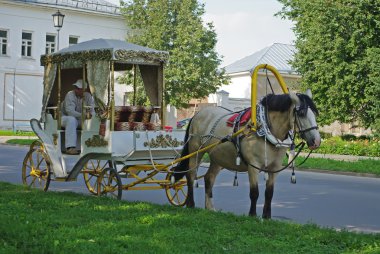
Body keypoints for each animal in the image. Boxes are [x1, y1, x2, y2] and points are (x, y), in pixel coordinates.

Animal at [174, 91, 320, 218]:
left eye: (315, 113)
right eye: (301, 113)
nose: (317, 141)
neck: (265, 128)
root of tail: (197, 114)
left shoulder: (274, 168)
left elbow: (269, 193)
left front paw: (267, 216)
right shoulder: (253, 166)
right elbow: (254, 192)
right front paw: (252, 215)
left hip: (218, 158)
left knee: (209, 178)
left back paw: (210, 207)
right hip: (195, 152)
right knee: (190, 175)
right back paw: (190, 204)